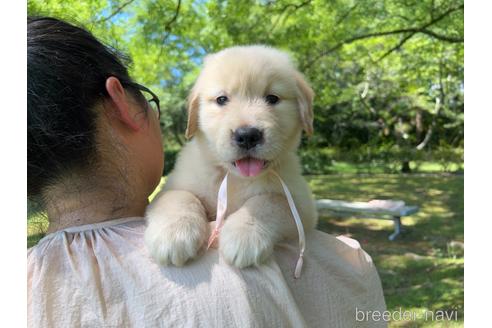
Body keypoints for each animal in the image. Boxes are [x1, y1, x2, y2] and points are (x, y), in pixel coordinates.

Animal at [144, 44, 318, 268]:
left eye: (272, 98)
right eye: (221, 99)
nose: (247, 136)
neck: (235, 177)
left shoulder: (302, 206)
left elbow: (270, 202)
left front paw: (244, 234)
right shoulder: (174, 185)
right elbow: (179, 197)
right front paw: (174, 233)